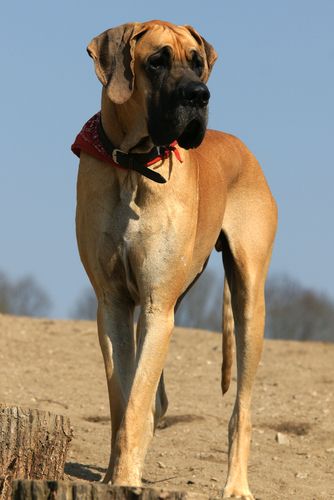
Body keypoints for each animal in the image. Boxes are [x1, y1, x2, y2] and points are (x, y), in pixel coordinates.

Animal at [73, 18, 280, 496]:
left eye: (198, 62)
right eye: (157, 60)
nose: (200, 96)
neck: (133, 167)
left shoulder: (156, 305)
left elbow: (134, 406)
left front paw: (124, 477)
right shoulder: (113, 304)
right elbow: (123, 400)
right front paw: (115, 474)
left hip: (247, 302)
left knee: (241, 409)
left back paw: (236, 485)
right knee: (156, 399)